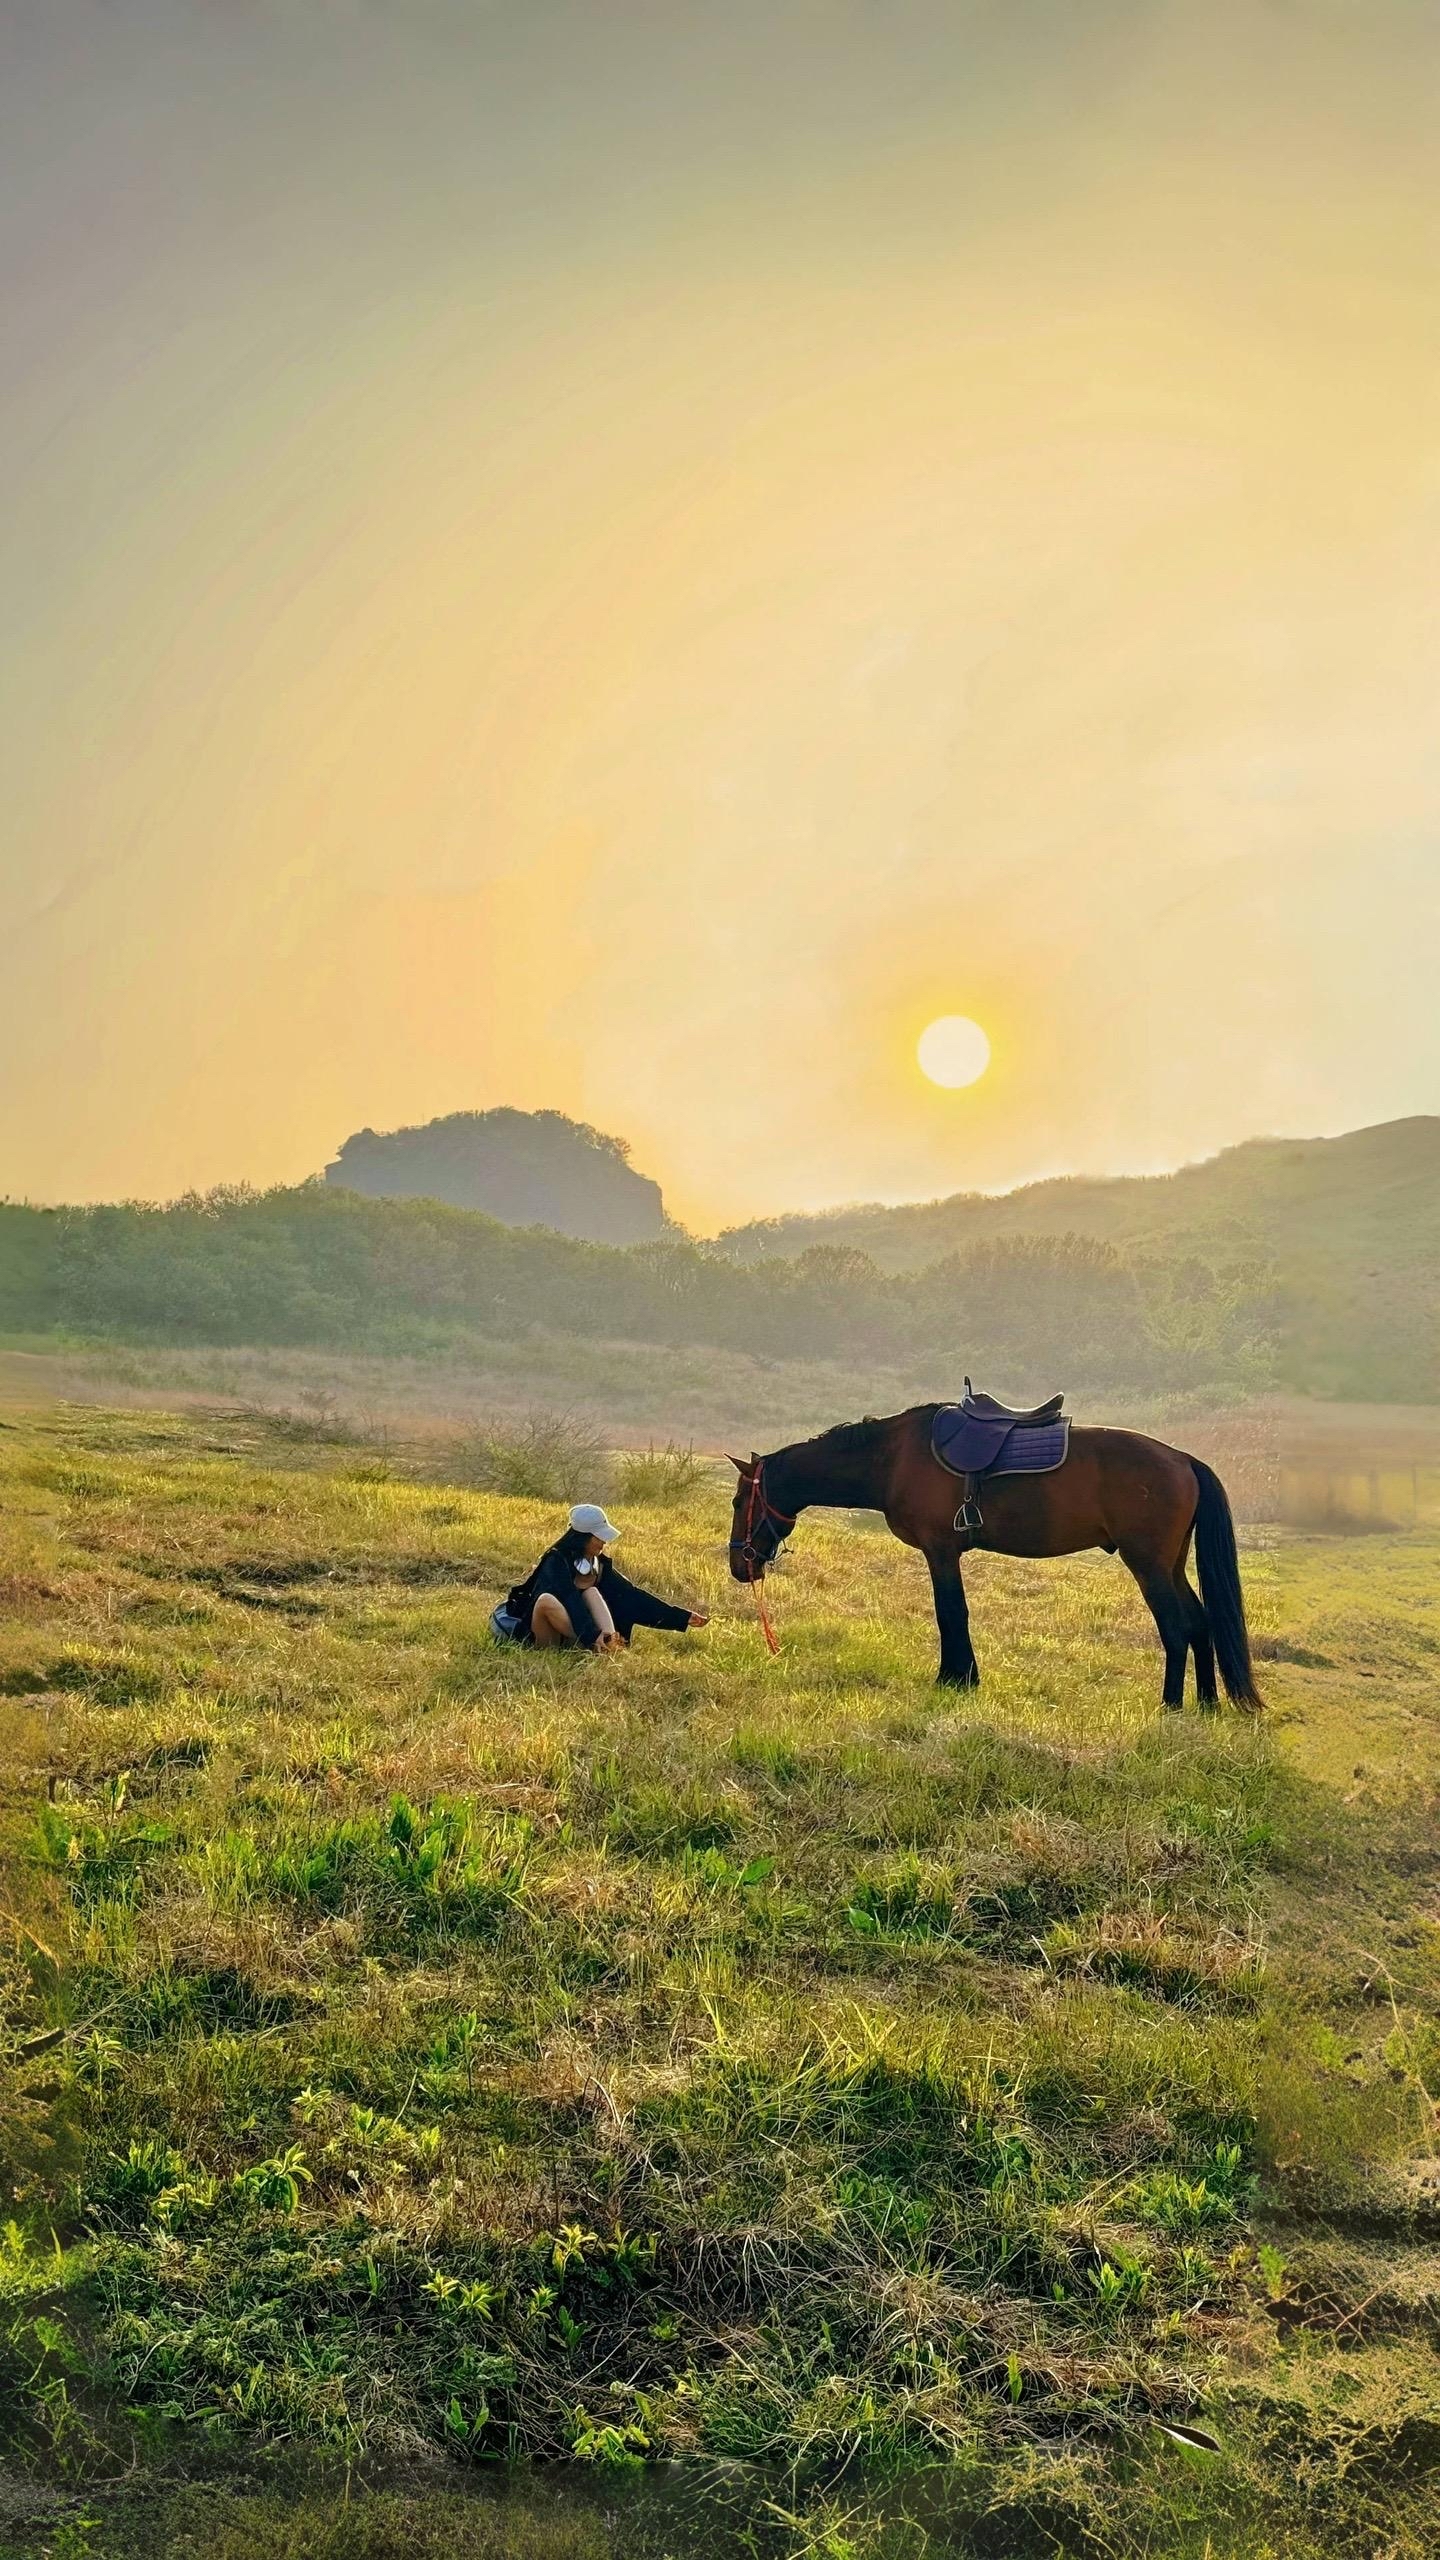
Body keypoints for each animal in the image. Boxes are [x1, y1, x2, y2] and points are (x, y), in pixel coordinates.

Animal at [727, 1413, 1255, 1710]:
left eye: (738, 1502)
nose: (740, 1565)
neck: (892, 1458)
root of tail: (1182, 1459)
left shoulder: (940, 1550)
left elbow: (950, 1614)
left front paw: (955, 1679)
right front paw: (965, 1677)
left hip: (1148, 1566)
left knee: (1176, 1628)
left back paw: (1172, 1705)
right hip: (1170, 1565)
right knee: (1200, 1621)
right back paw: (1207, 1705)